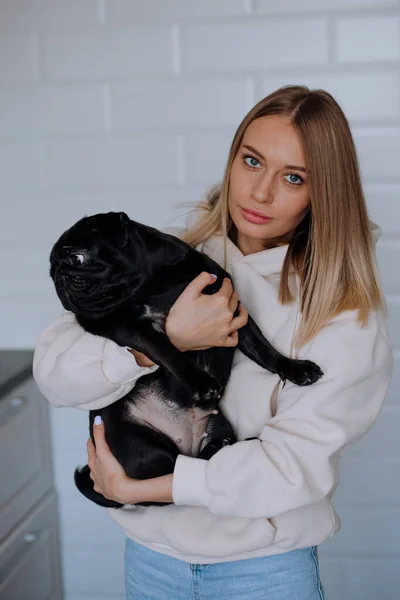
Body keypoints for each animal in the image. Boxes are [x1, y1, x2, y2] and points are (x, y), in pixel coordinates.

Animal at [49, 211, 322, 506]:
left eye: (77, 259)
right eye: (51, 272)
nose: (58, 277)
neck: (149, 287)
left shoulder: (234, 313)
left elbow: (264, 349)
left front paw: (295, 369)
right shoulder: (125, 328)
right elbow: (164, 347)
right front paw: (199, 383)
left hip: (218, 423)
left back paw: (222, 444)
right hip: (143, 447)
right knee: (177, 469)